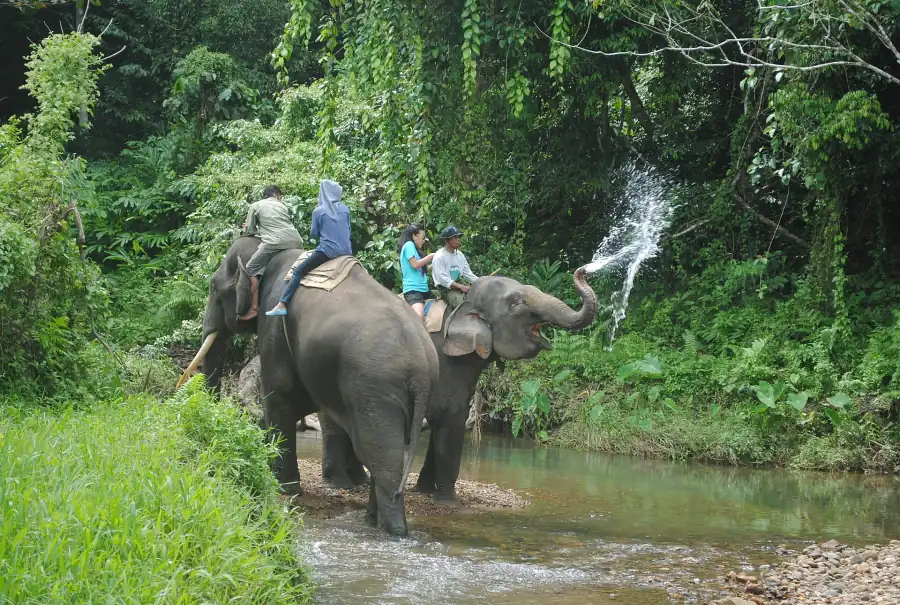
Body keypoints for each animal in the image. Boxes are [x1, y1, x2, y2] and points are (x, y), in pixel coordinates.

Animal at [176, 236, 438, 537]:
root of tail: (420, 367)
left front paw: (285, 487)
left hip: (374, 389)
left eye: (212, 288)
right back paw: (372, 521)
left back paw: (392, 531)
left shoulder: (274, 324)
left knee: (381, 457)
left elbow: (279, 394)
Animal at [319, 267, 598, 504]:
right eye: (516, 303)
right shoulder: (446, 362)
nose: (583, 271)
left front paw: (425, 490)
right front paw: (451, 501)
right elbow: (451, 418)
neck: (463, 305)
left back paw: (359, 481)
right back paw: (340, 484)